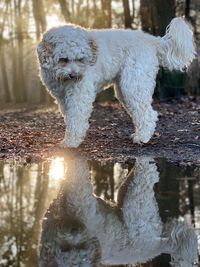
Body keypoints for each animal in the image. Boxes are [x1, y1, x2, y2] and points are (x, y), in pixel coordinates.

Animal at [37, 17, 195, 148]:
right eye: (63, 59)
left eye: (80, 59)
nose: (74, 75)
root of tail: (151, 40)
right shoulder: (62, 97)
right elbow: (70, 117)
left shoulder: (79, 94)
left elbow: (76, 118)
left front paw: (71, 142)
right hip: (126, 90)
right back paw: (139, 134)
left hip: (133, 85)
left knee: (148, 114)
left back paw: (142, 138)